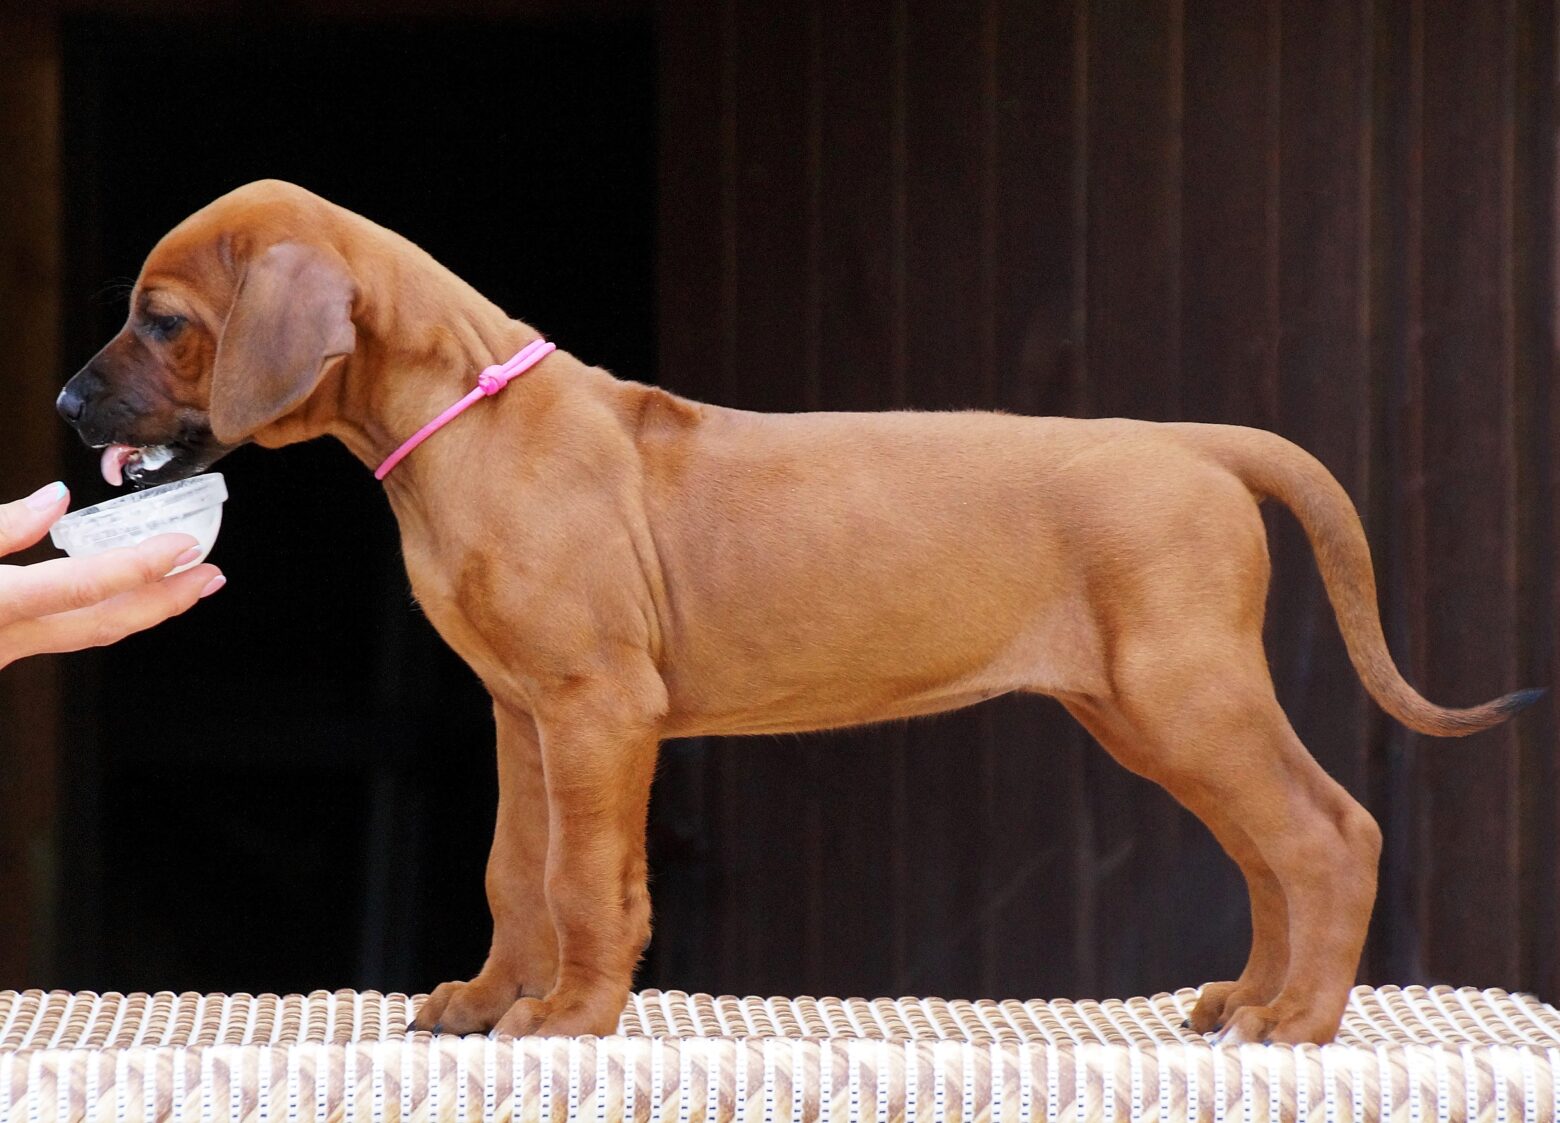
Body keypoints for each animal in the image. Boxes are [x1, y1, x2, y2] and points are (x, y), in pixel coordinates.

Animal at [56, 180, 1540, 1045]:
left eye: (163, 319)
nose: (68, 407)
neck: (470, 419)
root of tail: (1198, 444)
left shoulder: (600, 711)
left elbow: (586, 878)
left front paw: (572, 1014)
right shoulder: (525, 717)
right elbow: (516, 870)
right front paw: (489, 998)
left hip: (1186, 692)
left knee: (1328, 832)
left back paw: (1303, 1020)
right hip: (1150, 709)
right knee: (1273, 848)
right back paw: (1256, 997)